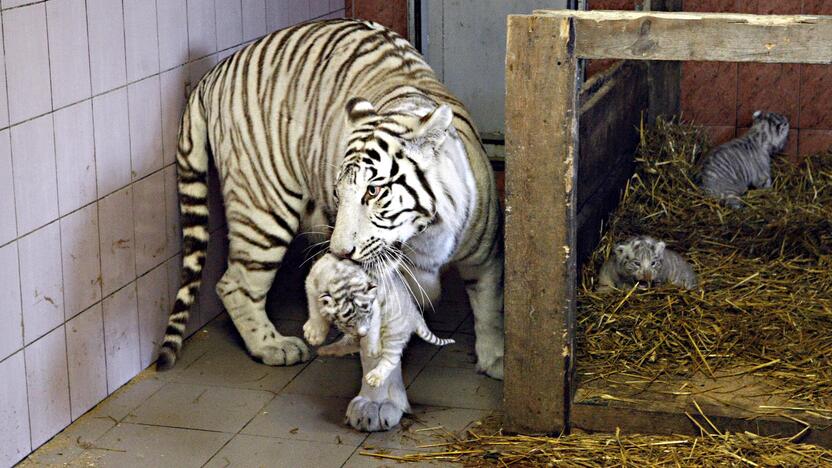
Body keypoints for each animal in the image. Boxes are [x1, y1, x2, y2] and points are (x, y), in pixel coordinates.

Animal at [159, 20, 504, 434]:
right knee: (234, 283)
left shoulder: (486, 253)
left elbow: (489, 307)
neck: (425, 238)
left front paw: (498, 361)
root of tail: (214, 73)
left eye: (374, 191)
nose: (341, 253)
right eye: (339, 193)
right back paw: (273, 346)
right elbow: (376, 345)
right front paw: (376, 404)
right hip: (263, 207)